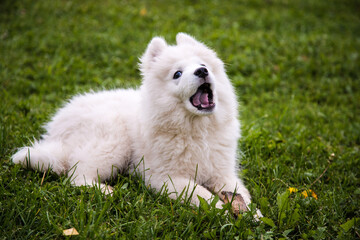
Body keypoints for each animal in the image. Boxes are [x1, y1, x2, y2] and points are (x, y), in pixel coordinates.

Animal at [11, 32, 258, 216]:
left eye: (203, 64)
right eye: (177, 74)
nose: (202, 71)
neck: (197, 130)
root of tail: (55, 130)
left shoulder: (222, 172)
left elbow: (241, 193)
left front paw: (252, 214)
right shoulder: (165, 177)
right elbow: (202, 195)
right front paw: (223, 211)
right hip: (113, 141)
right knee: (76, 176)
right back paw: (107, 191)